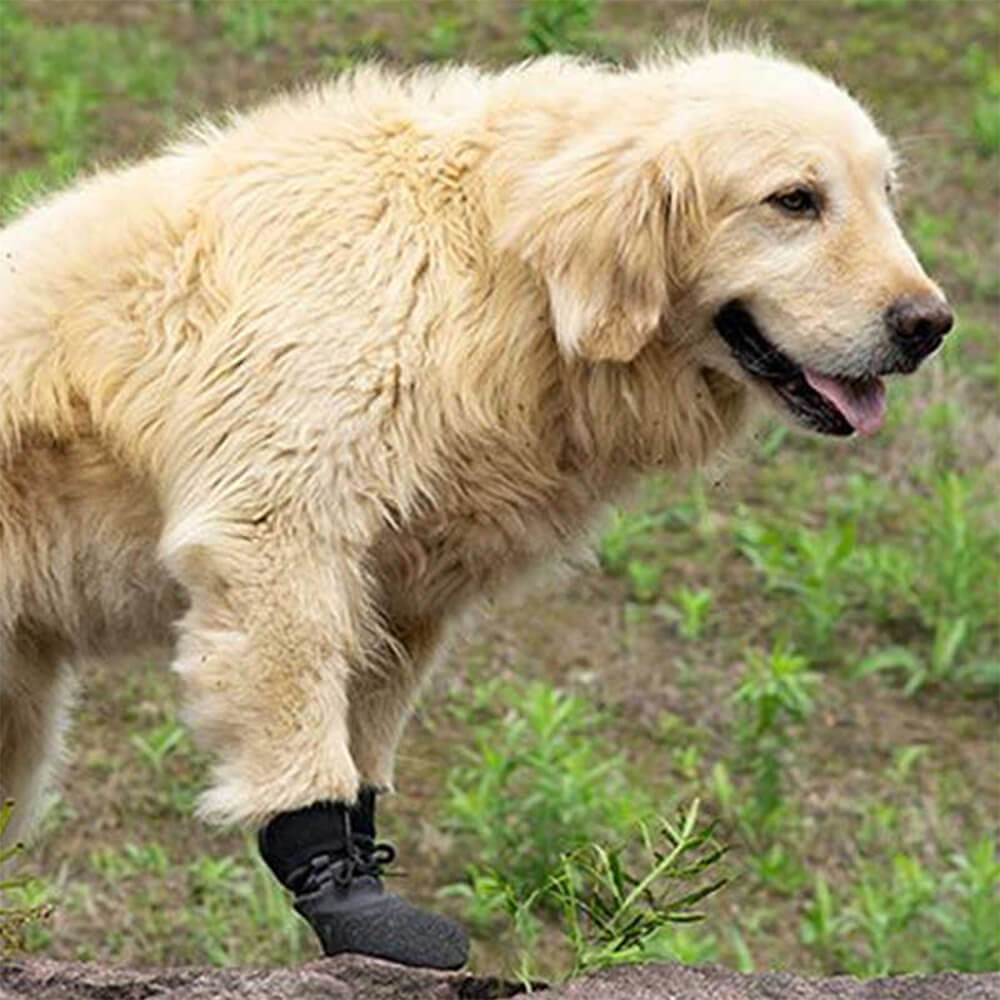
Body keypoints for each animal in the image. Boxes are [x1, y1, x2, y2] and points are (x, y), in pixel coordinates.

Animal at [1, 43, 952, 964]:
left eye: (886, 193)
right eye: (794, 199)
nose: (929, 324)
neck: (499, 272)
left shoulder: (409, 578)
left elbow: (368, 721)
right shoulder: (281, 511)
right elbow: (298, 696)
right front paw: (356, 904)